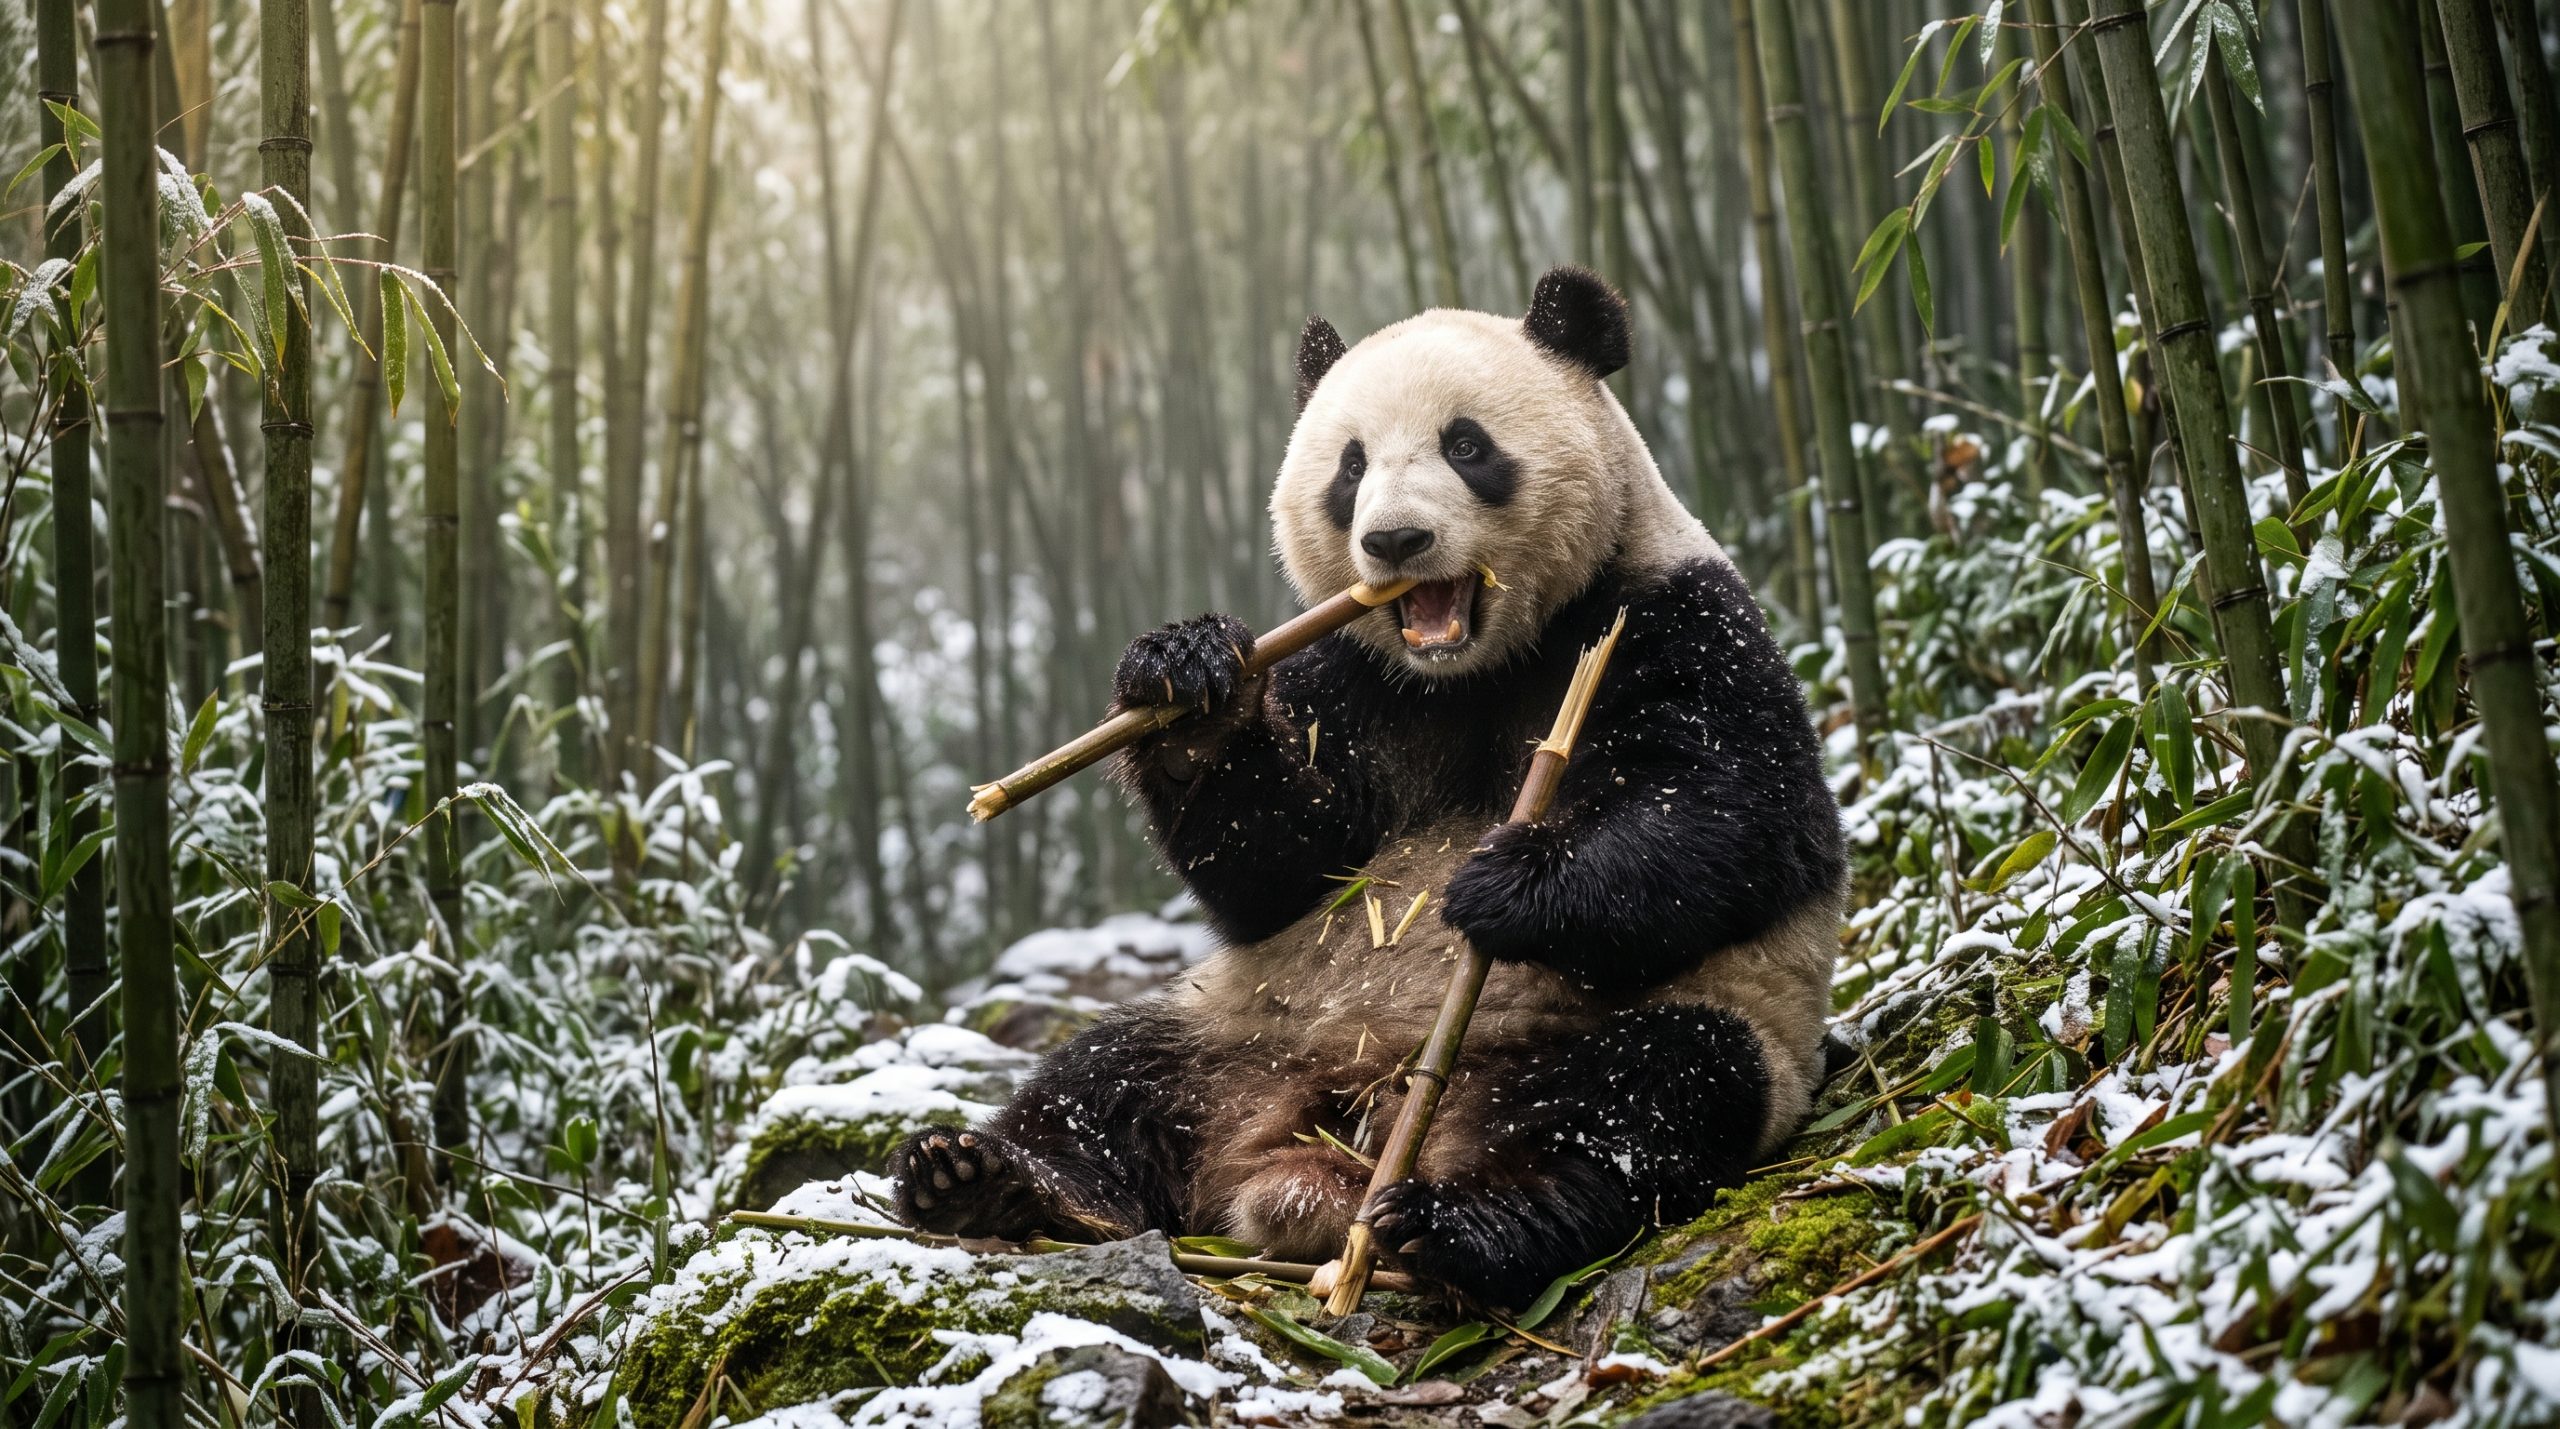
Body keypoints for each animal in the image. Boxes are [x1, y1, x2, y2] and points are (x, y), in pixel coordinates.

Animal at [893, 267, 1843, 1307]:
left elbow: (1734, 815)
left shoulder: (1675, 615)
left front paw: (1504, 884)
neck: (1475, 665)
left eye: (1466, 445)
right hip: (1238, 1024)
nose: (1393, 540)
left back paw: (1461, 1226)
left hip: (1666, 1026)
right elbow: (1281, 865)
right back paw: (979, 1176)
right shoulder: (1351, 675)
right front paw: (1185, 682)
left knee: (1637, 1100)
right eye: (1349, 467)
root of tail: (1326, 1144)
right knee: (1102, 1080)